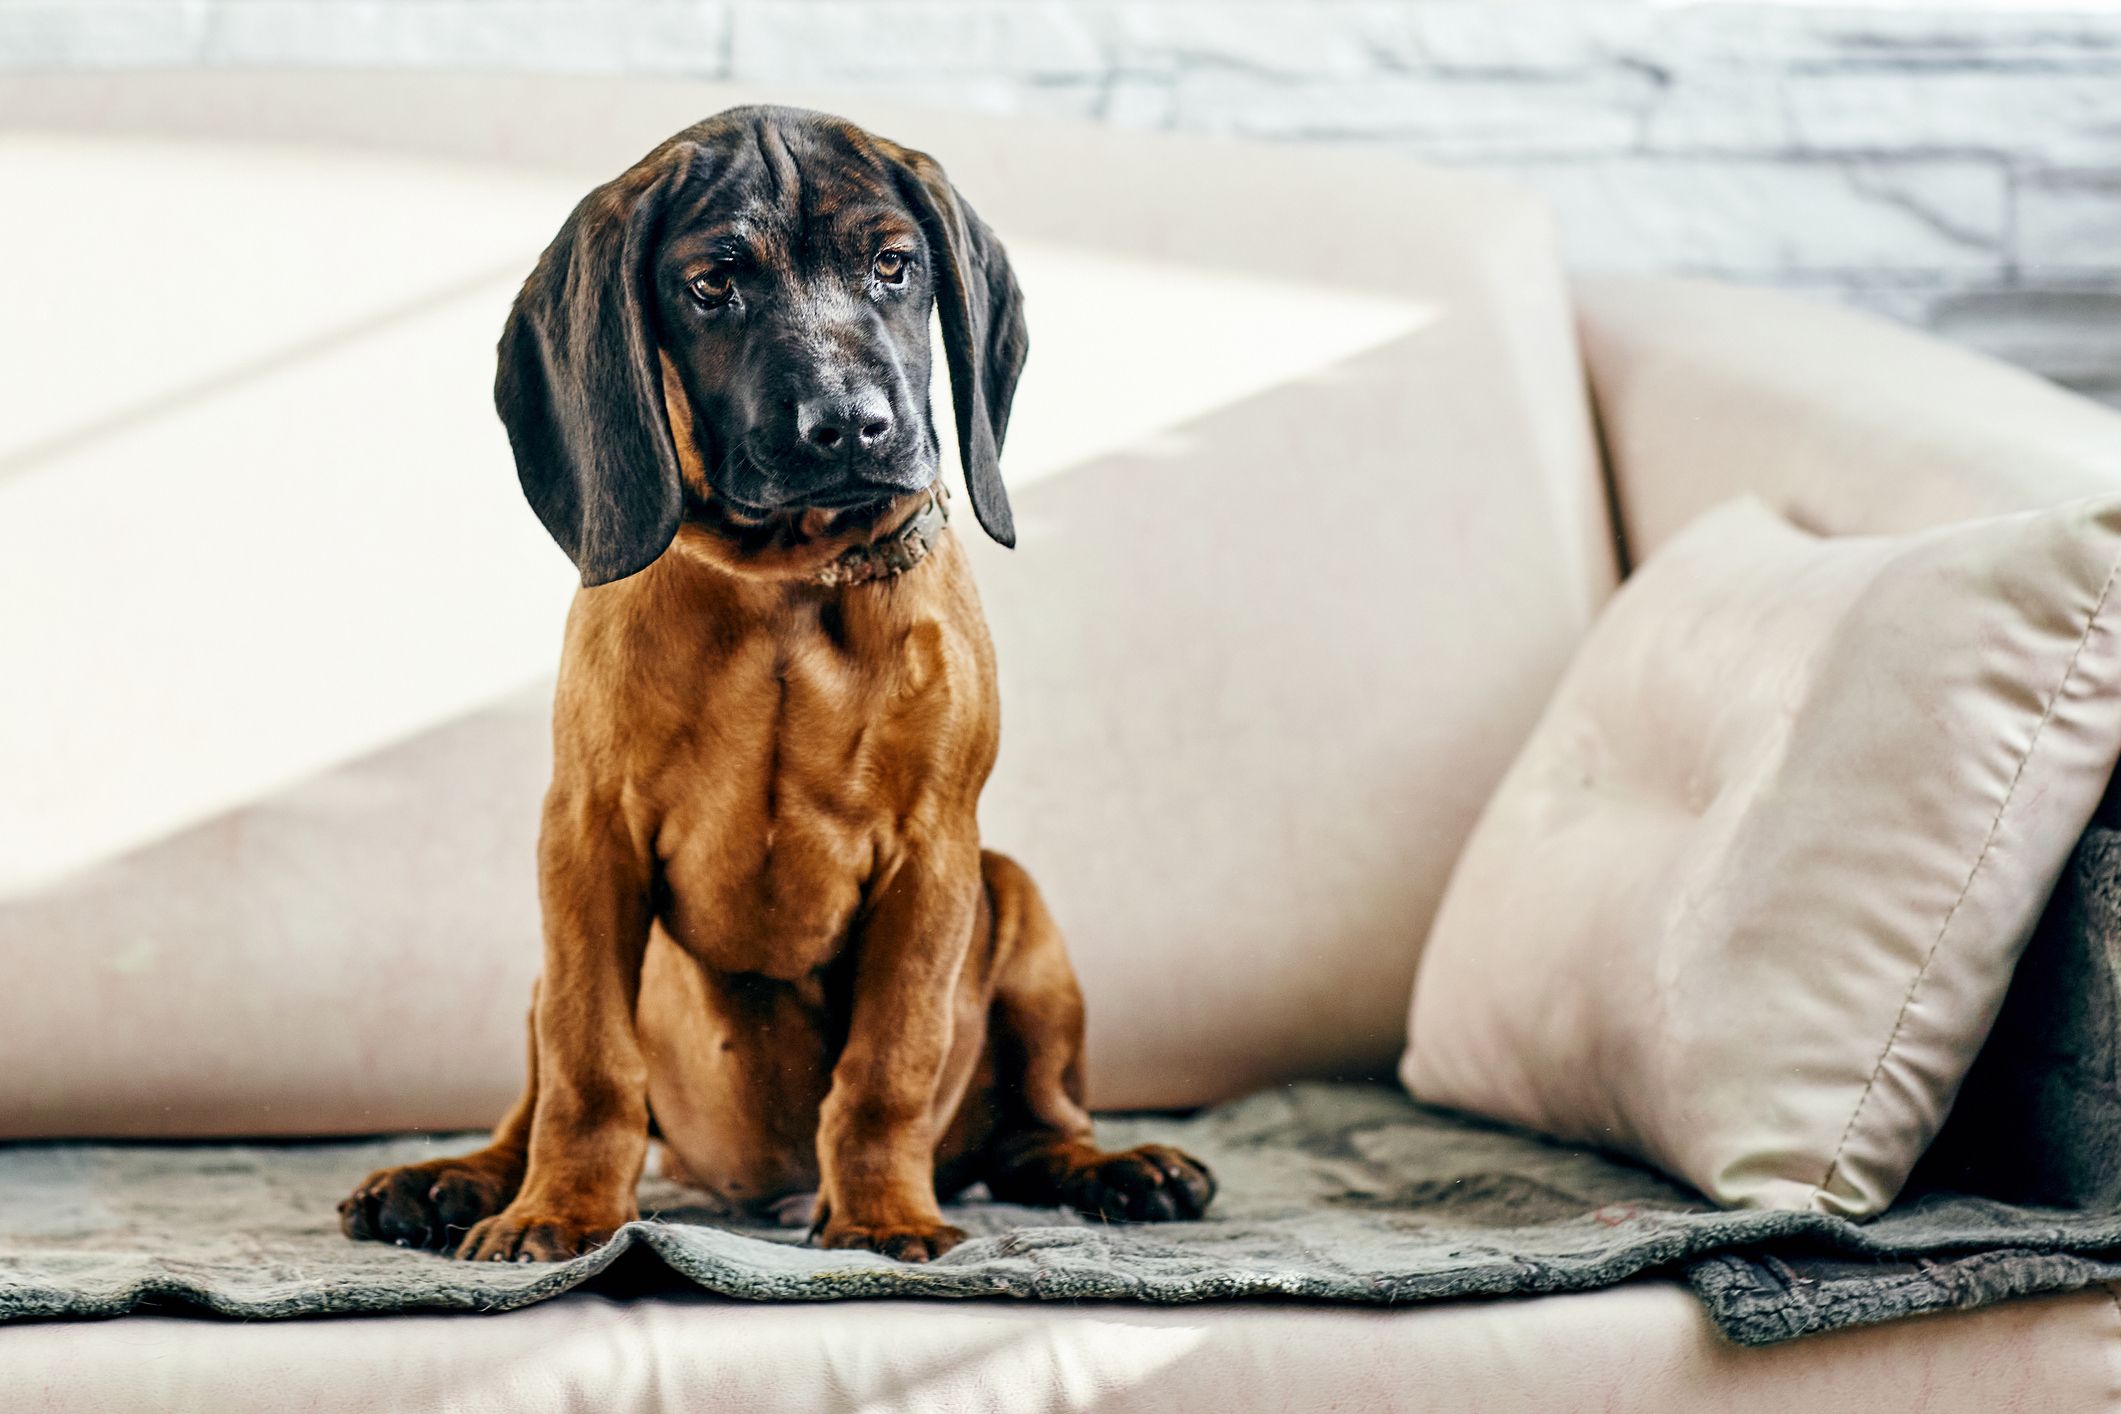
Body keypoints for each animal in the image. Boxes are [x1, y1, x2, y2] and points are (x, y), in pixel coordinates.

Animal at [341, 108, 1221, 1263]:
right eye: (714, 284)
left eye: (894, 266)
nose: (849, 426)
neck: (788, 589)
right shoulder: (586, 840)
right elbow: (589, 1061)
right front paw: (561, 1211)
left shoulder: (934, 854)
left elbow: (890, 1061)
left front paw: (885, 1216)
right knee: (531, 1097)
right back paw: (452, 1180)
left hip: (1017, 900)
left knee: (1032, 1129)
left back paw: (1118, 1167)